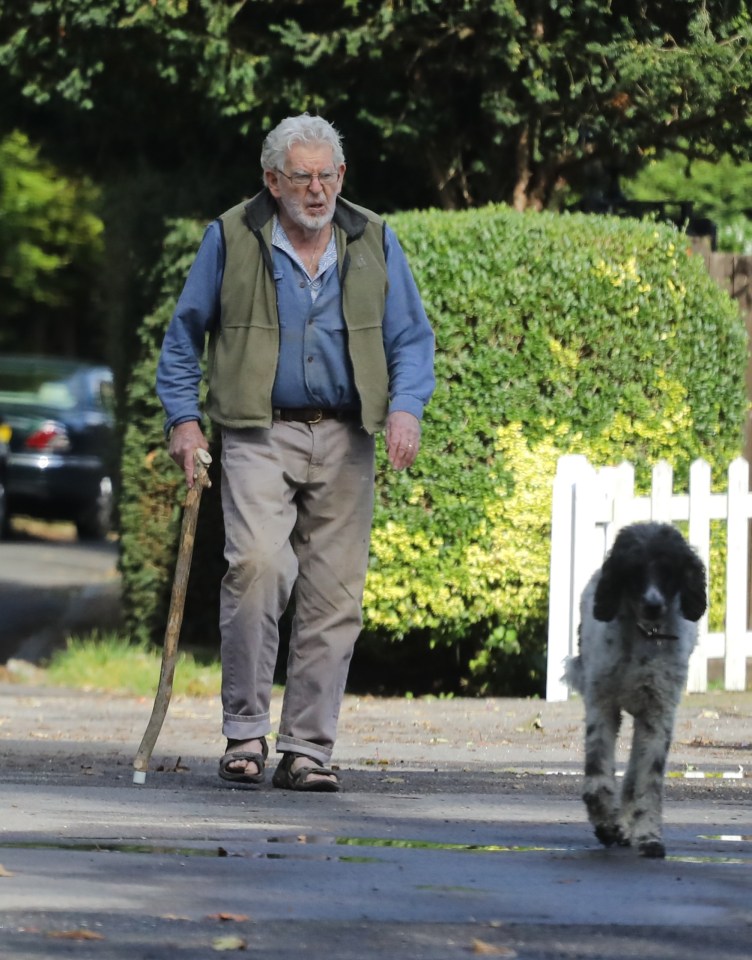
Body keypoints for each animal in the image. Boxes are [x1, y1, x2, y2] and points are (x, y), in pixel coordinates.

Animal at [568, 520, 708, 860]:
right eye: (634, 569)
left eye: (669, 569)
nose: (653, 605)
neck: (646, 635)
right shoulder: (602, 705)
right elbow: (598, 774)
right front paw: (606, 823)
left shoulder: (657, 713)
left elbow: (647, 779)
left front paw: (647, 835)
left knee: (633, 776)